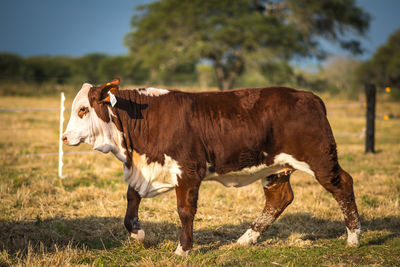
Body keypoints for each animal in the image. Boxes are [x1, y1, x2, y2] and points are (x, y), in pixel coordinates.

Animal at [62, 78, 362, 256]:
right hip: (275, 167)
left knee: (343, 185)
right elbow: (130, 202)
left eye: (83, 110)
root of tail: (309, 96)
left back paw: (353, 238)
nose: (64, 137)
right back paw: (246, 239)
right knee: (279, 199)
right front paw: (139, 235)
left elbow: (185, 211)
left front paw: (183, 250)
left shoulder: (188, 171)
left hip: (320, 159)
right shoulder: (145, 169)